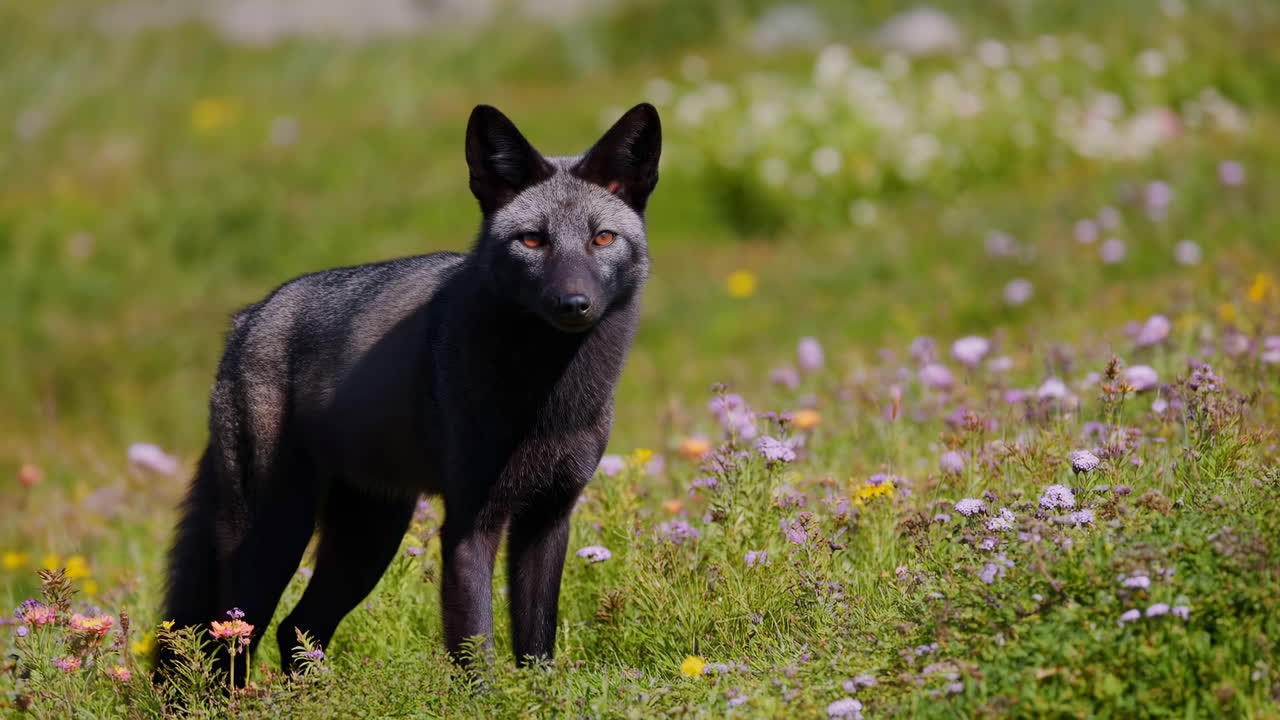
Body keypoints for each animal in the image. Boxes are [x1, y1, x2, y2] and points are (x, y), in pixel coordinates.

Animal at [160, 102, 661, 680]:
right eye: (533, 240)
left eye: (602, 238)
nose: (573, 304)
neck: (550, 400)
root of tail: (247, 319)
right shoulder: (468, 525)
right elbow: (477, 655)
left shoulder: (548, 518)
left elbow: (536, 648)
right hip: (275, 536)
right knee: (228, 643)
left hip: (370, 538)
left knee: (297, 629)